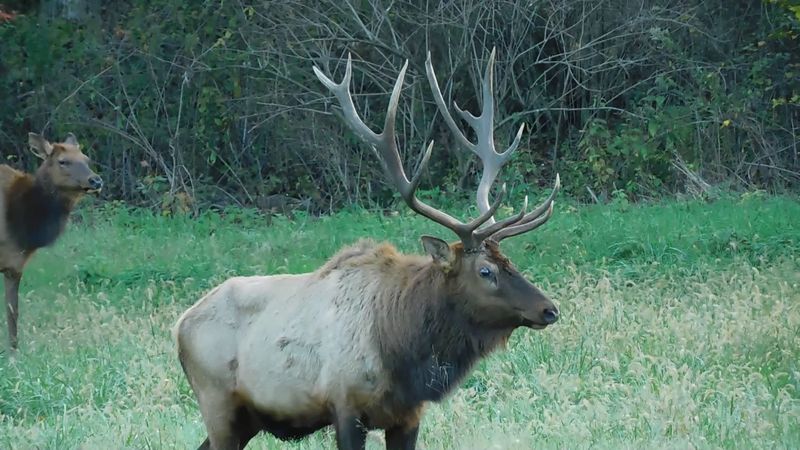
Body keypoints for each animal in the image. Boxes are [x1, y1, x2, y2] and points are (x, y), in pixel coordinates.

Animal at [0, 133, 103, 351]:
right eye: (63, 161)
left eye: (86, 159)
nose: (96, 180)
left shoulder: (14, 265)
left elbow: (12, 311)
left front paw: (14, 352)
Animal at [174, 50, 560, 450]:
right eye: (486, 271)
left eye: (510, 262)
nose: (549, 309)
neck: (404, 348)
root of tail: (179, 325)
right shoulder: (346, 405)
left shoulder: (408, 415)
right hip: (217, 404)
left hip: (245, 419)